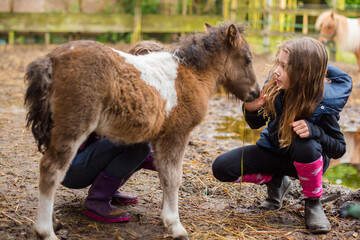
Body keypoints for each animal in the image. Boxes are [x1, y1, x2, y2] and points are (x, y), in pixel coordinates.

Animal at [23, 21, 258, 239]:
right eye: (247, 59)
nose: (256, 93)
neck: (191, 74)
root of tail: (53, 58)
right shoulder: (177, 134)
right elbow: (174, 178)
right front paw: (175, 226)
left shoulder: (159, 138)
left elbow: (164, 176)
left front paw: (165, 218)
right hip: (73, 127)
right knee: (51, 171)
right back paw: (46, 231)